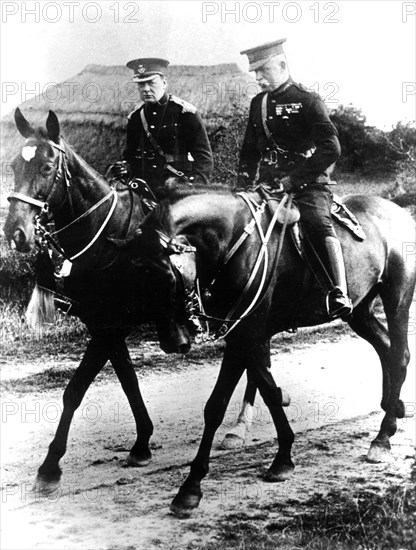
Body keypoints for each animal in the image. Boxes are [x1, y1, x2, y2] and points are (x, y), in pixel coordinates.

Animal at [3, 111, 193, 496]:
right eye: (14, 165)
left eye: (48, 166)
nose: (15, 233)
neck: (108, 236)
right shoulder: (104, 327)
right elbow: (128, 381)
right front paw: (142, 444)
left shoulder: (109, 329)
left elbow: (74, 391)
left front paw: (49, 467)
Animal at [134, 188, 416, 516]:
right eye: (137, 277)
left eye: (168, 276)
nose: (173, 342)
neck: (234, 240)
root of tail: (399, 212)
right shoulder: (241, 337)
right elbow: (249, 395)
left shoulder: (248, 333)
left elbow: (237, 399)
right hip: (360, 310)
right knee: (386, 348)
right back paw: (392, 411)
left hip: (397, 298)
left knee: (399, 356)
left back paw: (382, 438)